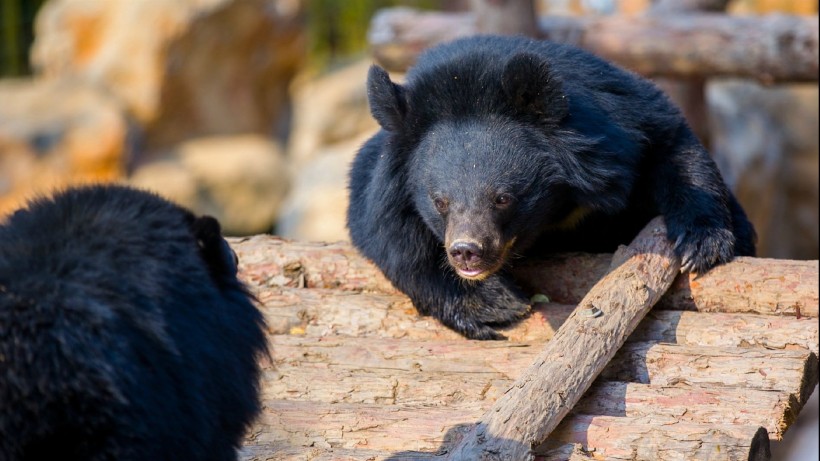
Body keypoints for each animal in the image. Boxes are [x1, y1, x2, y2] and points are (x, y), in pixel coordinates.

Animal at [346, 35, 756, 338]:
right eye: (440, 202)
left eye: (503, 198)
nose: (466, 252)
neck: (557, 204)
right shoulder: (383, 177)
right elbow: (389, 234)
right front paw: (495, 304)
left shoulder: (626, 124)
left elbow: (675, 152)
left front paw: (700, 246)